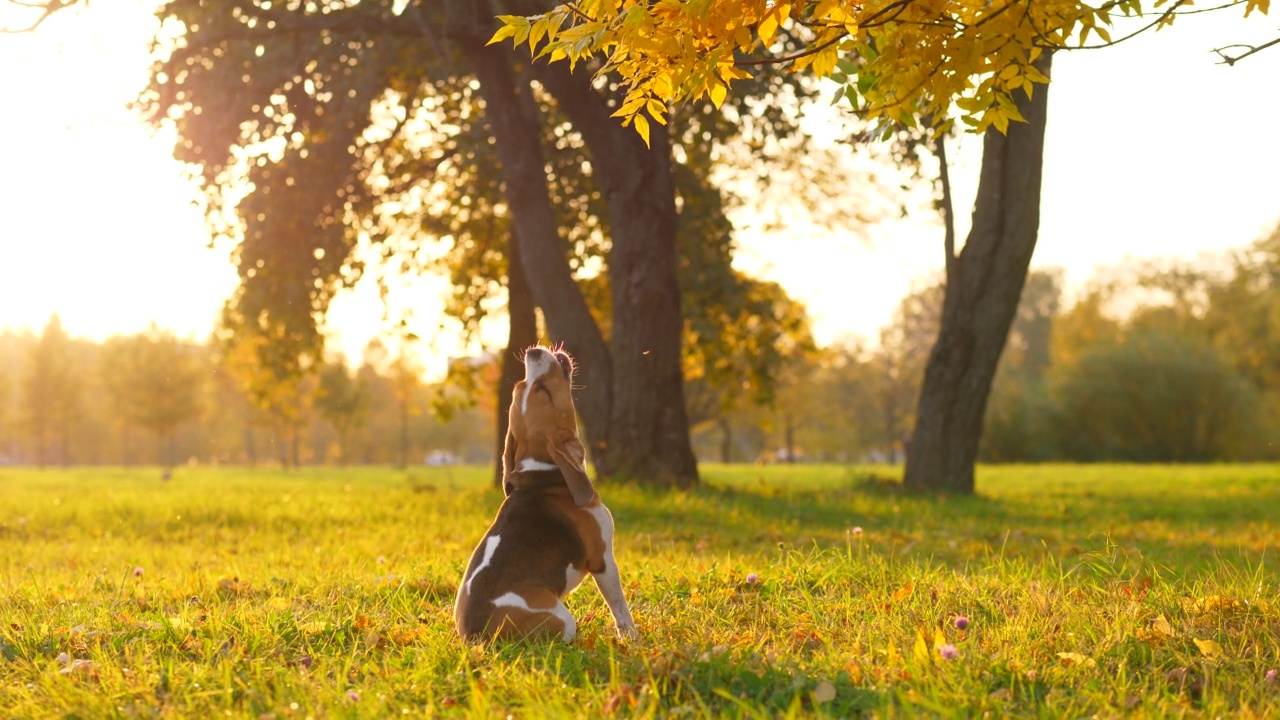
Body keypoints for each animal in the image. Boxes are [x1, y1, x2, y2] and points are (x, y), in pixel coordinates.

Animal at [458, 343, 640, 638]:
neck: (544, 471)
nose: (533, 352)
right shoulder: (603, 560)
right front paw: (631, 637)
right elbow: (619, 606)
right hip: (563, 620)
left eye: (521, 386)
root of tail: (477, 635)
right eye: (543, 390)